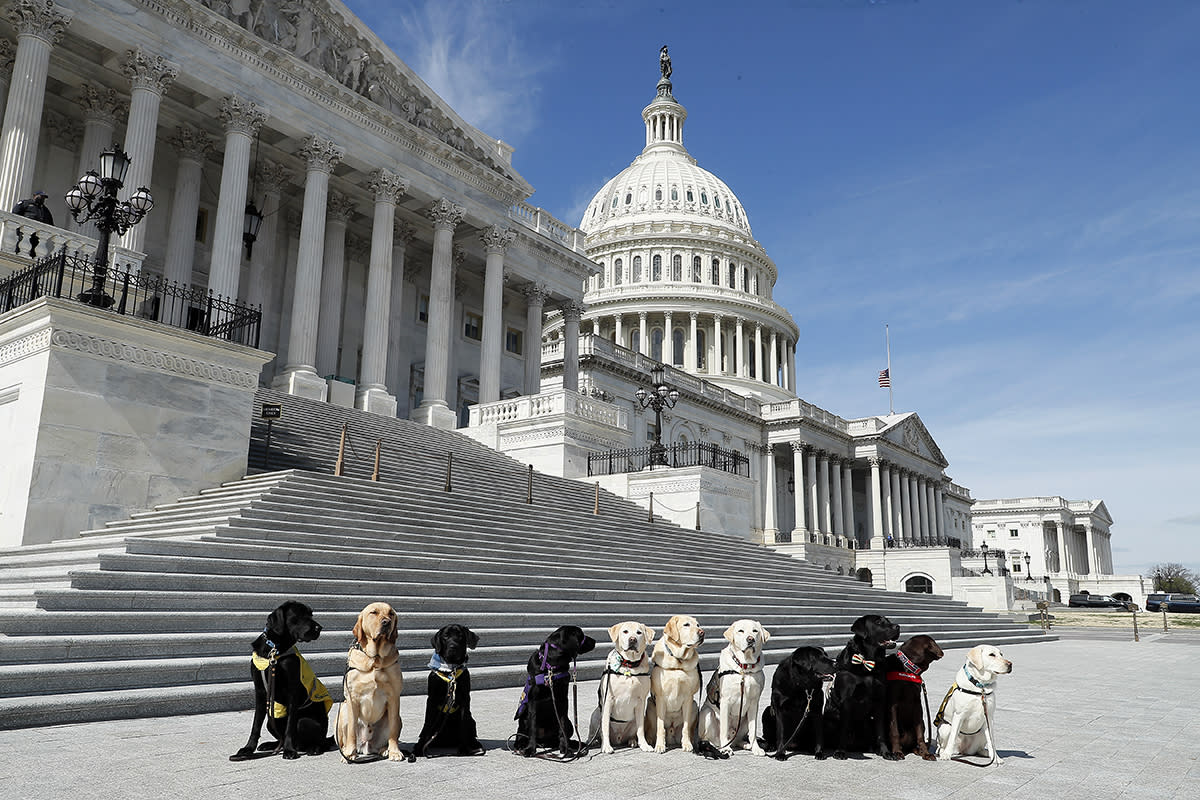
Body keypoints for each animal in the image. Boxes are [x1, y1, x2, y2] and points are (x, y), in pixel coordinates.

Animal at [590, 623, 657, 753]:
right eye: (625, 631)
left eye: (639, 632)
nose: (632, 639)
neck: (629, 666)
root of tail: (618, 738)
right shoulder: (608, 700)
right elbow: (605, 727)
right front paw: (606, 746)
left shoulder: (641, 702)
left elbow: (640, 729)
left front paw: (644, 745)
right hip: (596, 715)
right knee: (595, 733)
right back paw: (593, 742)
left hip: (635, 720)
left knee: (633, 733)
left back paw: (632, 741)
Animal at [700, 618, 772, 758]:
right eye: (741, 631)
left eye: (755, 631)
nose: (750, 639)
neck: (744, 668)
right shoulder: (725, 702)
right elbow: (723, 729)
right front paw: (725, 749)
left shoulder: (754, 703)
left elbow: (753, 730)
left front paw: (756, 748)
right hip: (707, 713)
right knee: (711, 740)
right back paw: (719, 747)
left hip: (743, 720)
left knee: (738, 739)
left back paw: (746, 745)